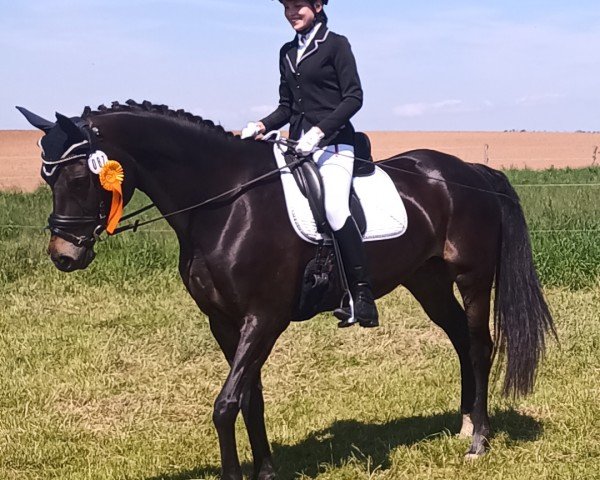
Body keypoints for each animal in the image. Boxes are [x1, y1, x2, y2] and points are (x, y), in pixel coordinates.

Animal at [16, 102, 556, 480]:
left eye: (80, 176)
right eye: (47, 176)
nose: (64, 255)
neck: (225, 204)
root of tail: (471, 172)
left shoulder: (264, 317)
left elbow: (225, 405)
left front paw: (236, 474)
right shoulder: (225, 321)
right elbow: (249, 399)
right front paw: (266, 470)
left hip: (471, 279)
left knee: (481, 346)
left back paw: (478, 441)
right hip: (428, 282)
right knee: (461, 341)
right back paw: (464, 423)